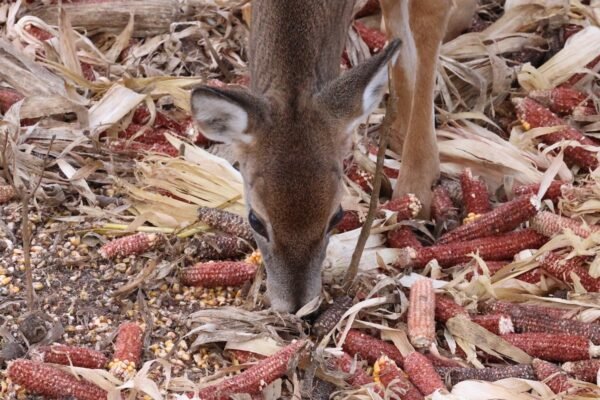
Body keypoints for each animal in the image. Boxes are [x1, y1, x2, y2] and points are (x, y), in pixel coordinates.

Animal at [190, 0, 476, 312]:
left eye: (336, 216)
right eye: (255, 220)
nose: (297, 307)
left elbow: (426, 26)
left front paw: (418, 186)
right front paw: (399, 131)